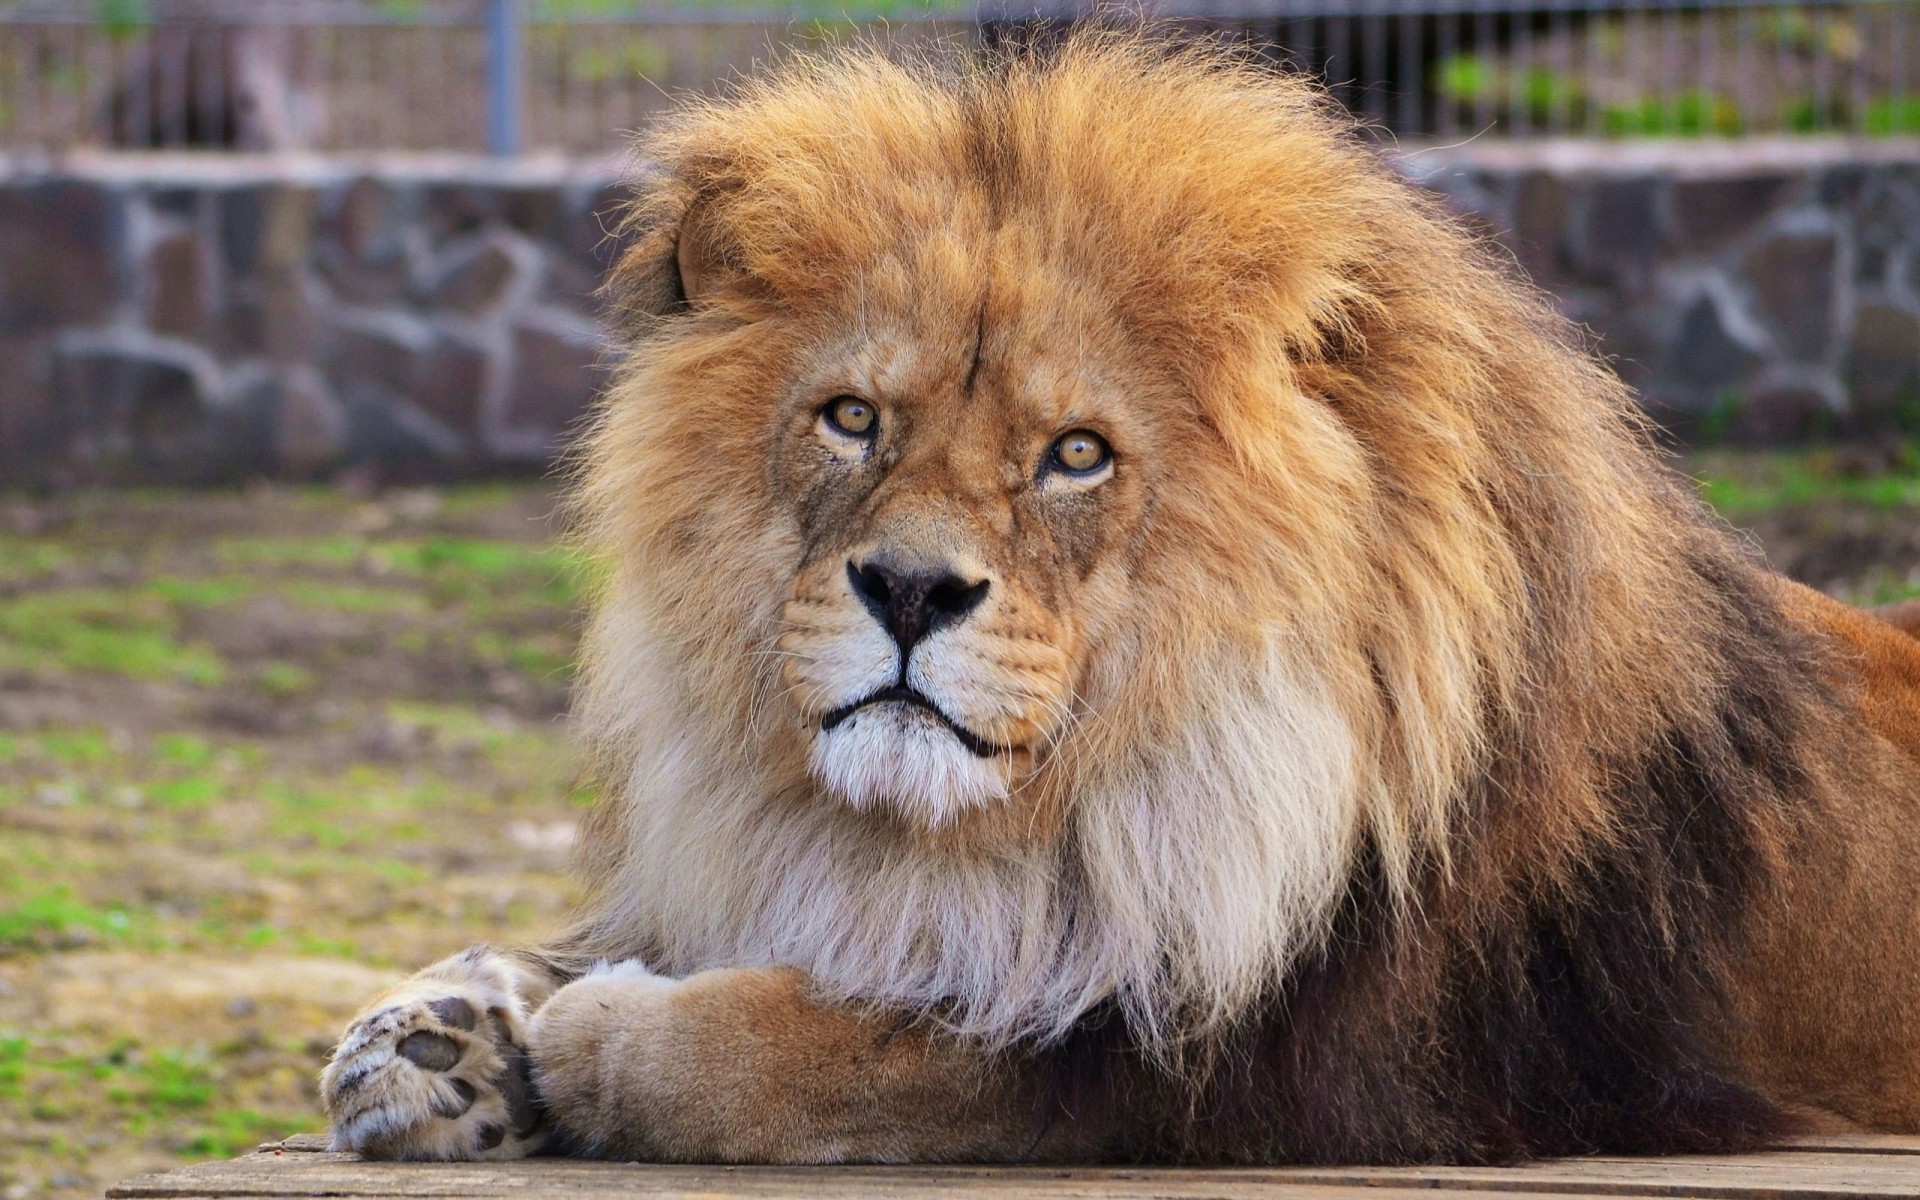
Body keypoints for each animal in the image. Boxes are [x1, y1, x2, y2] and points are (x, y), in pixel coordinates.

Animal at [316, 33, 1920, 1165]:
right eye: (852, 420)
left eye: (1076, 454)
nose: (908, 588)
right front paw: (440, 1035)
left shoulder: (1264, 1063)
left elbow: (834, 1054)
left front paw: (592, 1036)